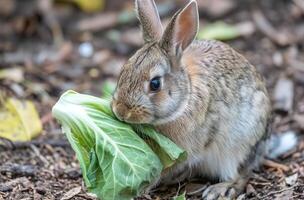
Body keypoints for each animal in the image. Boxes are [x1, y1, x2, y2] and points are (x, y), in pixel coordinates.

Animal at [110, 0, 296, 198]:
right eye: (123, 70)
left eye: (155, 84)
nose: (121, 111)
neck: (184, 100)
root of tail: (264, 146)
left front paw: (142, 187)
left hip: (237, 147)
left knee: (242, 175)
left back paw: (220, 190)